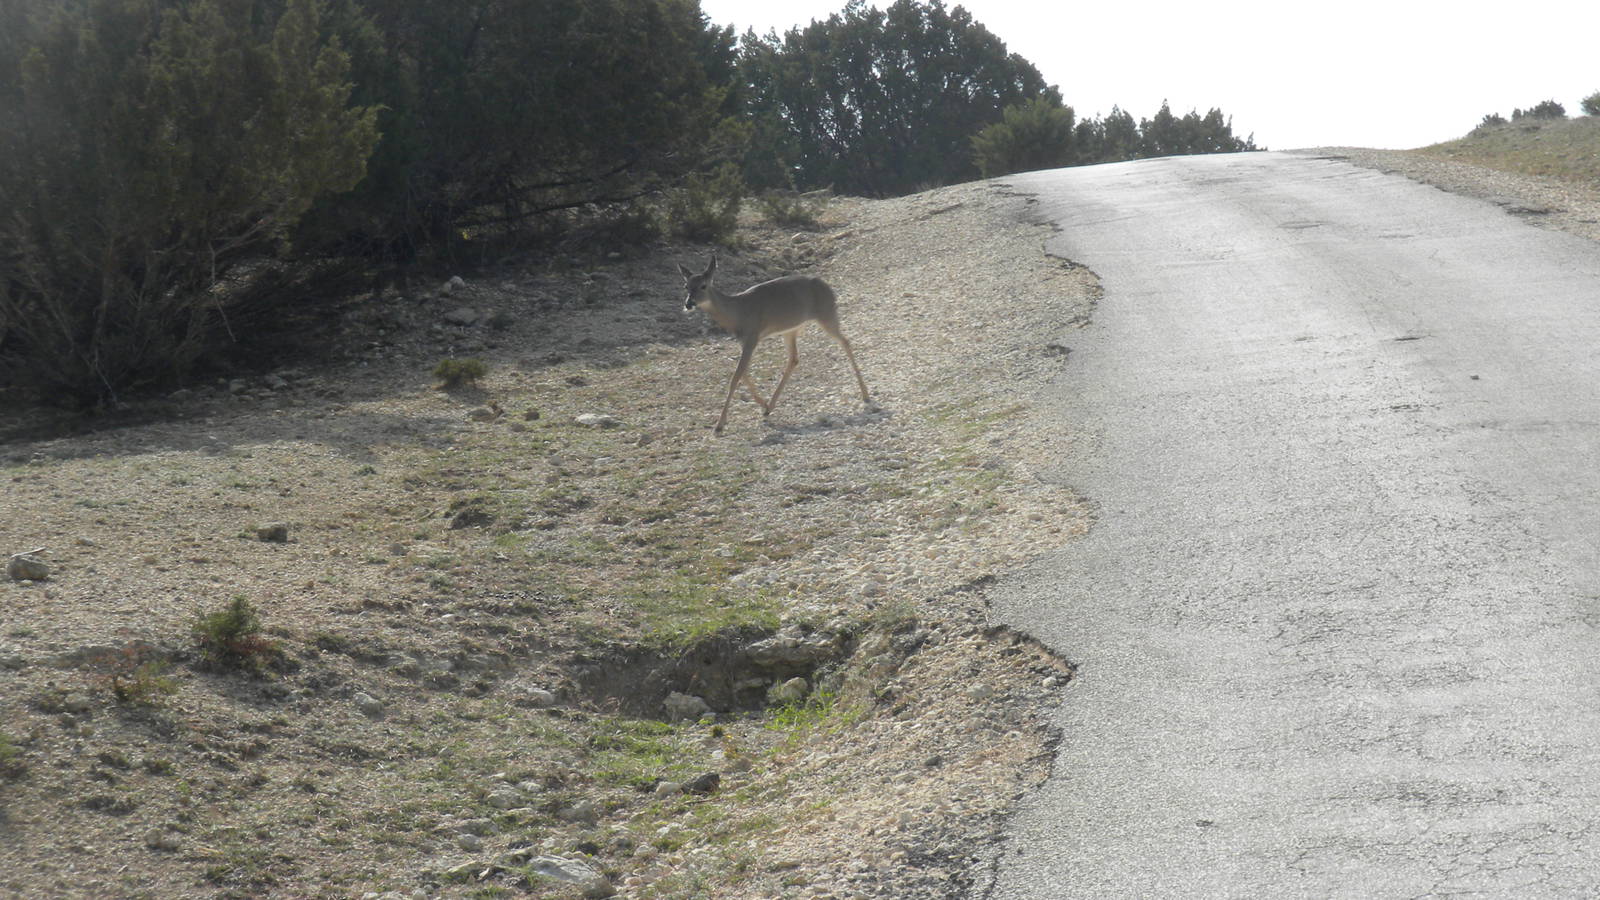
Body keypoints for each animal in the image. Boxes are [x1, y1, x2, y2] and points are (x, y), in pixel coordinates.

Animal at [679, 254, 871, 435]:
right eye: (686, 286)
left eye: (703, 285)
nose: (689, 304)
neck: (737, 312)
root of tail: (828, 287)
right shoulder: (744, 340)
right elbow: (743, 373)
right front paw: (763, 404)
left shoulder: (752, 336)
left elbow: (736, 377)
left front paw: (719, 426)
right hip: (790, 329)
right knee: (794, 358)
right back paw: (769, 408)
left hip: (827, 314)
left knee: (845, 342)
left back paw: (866, 395)